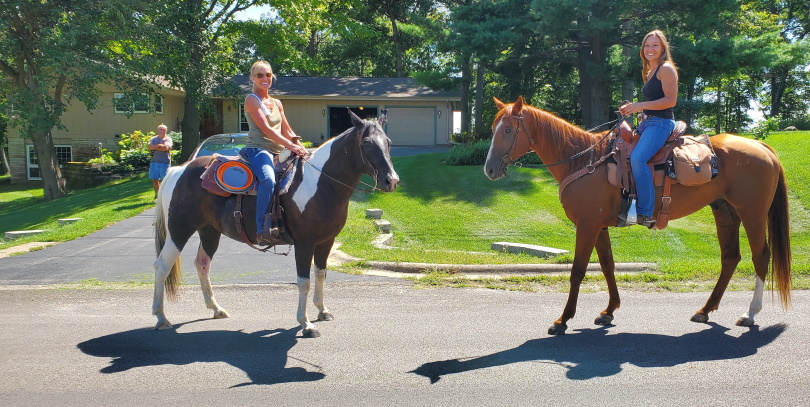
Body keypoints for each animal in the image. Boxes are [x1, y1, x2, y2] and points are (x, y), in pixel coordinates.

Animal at [152, 109, 398, 338]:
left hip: (209, 231)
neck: (320, 183)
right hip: (179, 231)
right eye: (366, 143)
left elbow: (320, 274)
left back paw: (216, 309)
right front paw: (306, 324)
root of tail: (179, 170)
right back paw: (161, 317)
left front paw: (322, 311)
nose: (391, 181)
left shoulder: (326, 241)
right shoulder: (304, 242)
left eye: (388, 142)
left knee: (202, 264)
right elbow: (304, 281)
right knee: (162, 266)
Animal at [482, 97, 784, 336]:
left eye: (508, 129)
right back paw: (705, 310)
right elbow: (607, 266)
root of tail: (762, 145)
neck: (583, 160)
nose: (489, 169)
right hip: (724, 210)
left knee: (761, 257)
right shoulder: (599, 226)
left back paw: (750, 314)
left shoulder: (587, 225)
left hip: (752, 213)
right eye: (495, 129)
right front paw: (609, 311)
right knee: (730, 258)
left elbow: (578, 271)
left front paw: (562, 320)